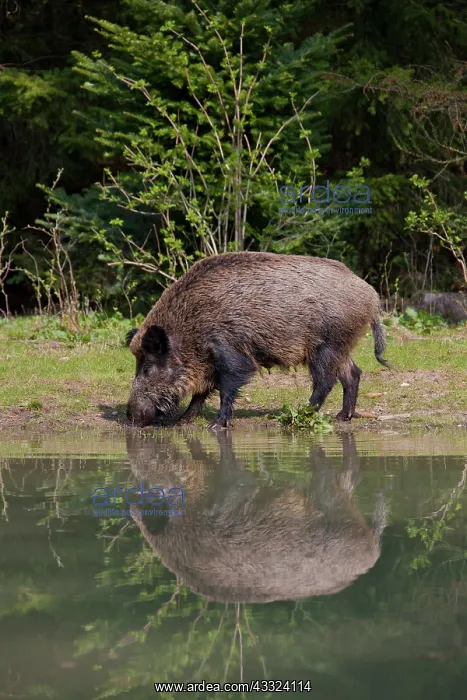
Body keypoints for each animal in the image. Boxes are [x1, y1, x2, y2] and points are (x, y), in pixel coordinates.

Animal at [126, 252, 389, 428]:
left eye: (147, 368)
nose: (130, 417)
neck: (190, 328)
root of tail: (371, 296)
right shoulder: (207, 364)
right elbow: (200, 394)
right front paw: (182, 422)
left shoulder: (230, 352)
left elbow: (228, 386)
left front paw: (216, 425)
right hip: (342, 345)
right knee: (353, 373)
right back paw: (342, 417)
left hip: (325, 346)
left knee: (326, 381)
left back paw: (300, 414)